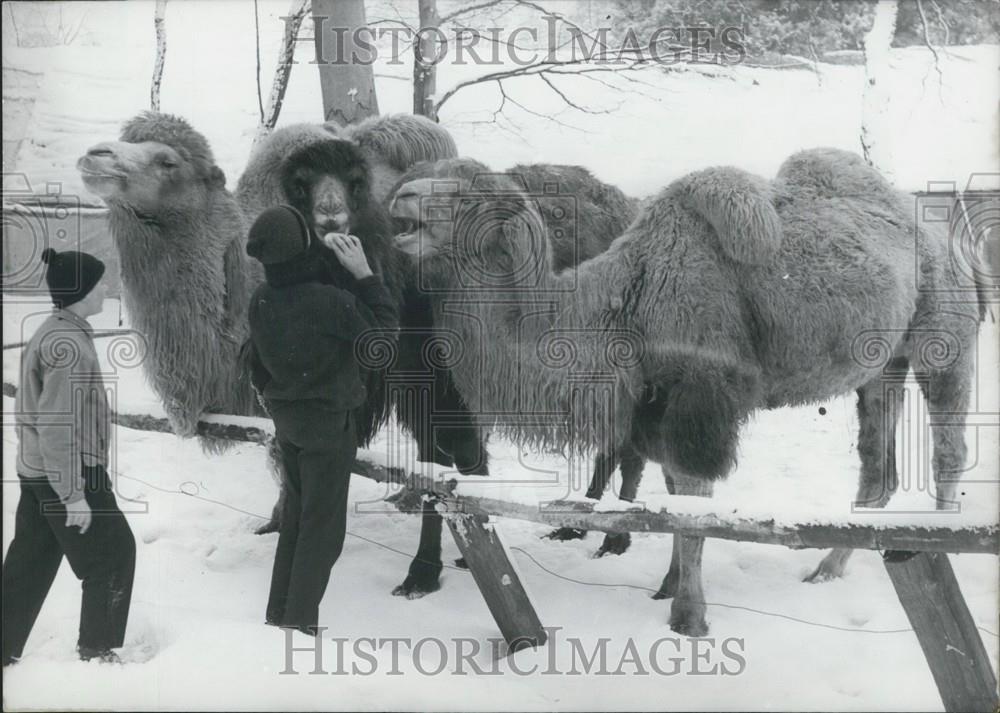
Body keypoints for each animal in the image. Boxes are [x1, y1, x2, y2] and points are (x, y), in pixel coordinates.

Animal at [390, 150, 984, 636]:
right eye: (422, 177)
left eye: (466, 193)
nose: (401, 199)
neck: (622, 304)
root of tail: (951, 237)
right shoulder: (660, 406)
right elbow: (674, 497)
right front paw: (669, 585)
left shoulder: (702, 399)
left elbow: (694, 507)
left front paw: (688, 617)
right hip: (883, 365)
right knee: (878, 469)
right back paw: (826, 569)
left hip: (943, 337)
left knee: (949, 448)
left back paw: (942, 541)